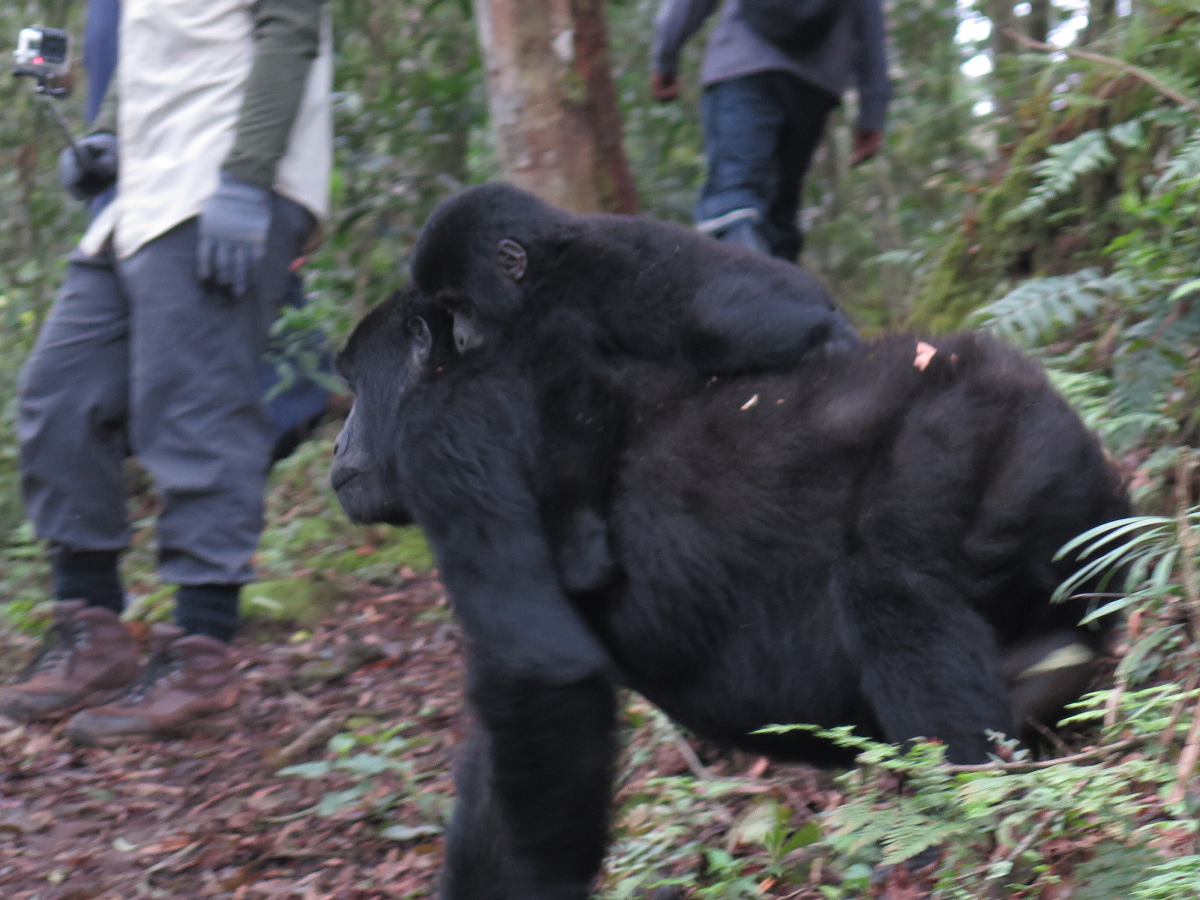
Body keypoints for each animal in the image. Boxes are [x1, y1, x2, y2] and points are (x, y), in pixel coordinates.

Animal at [331, 290, 1132, 900]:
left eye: (354, 388)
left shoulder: (448, 434)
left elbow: (539, 680)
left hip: (971, 425)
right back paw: (1054, 678)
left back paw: (962, 826)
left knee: (891, 593)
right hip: (1073, 500)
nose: (336, 448)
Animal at [412, 182, 864, 592]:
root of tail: (821, 293)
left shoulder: (554, 318)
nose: (460, 339)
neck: (540, 273)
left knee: (707, 329)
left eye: (462, 306)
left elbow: (579, 403)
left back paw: (830, 336)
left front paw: (578, 544)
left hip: (787, 295)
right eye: (448, 311)